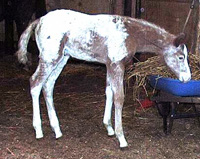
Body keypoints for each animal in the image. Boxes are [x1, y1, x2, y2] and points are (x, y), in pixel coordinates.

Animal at [16, 9, 191, 147]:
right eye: (181, 57)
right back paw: (38, 130)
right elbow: (119, 97)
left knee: (48, 86)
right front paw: (121, 138)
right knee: (35, 83)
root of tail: (39, 20)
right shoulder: (116, 64)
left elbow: (109, 93)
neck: (130, 33)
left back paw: (57, 129)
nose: (187, 78)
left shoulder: (109, 64)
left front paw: (109, 128)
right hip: (49, 58)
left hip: (62, 58)